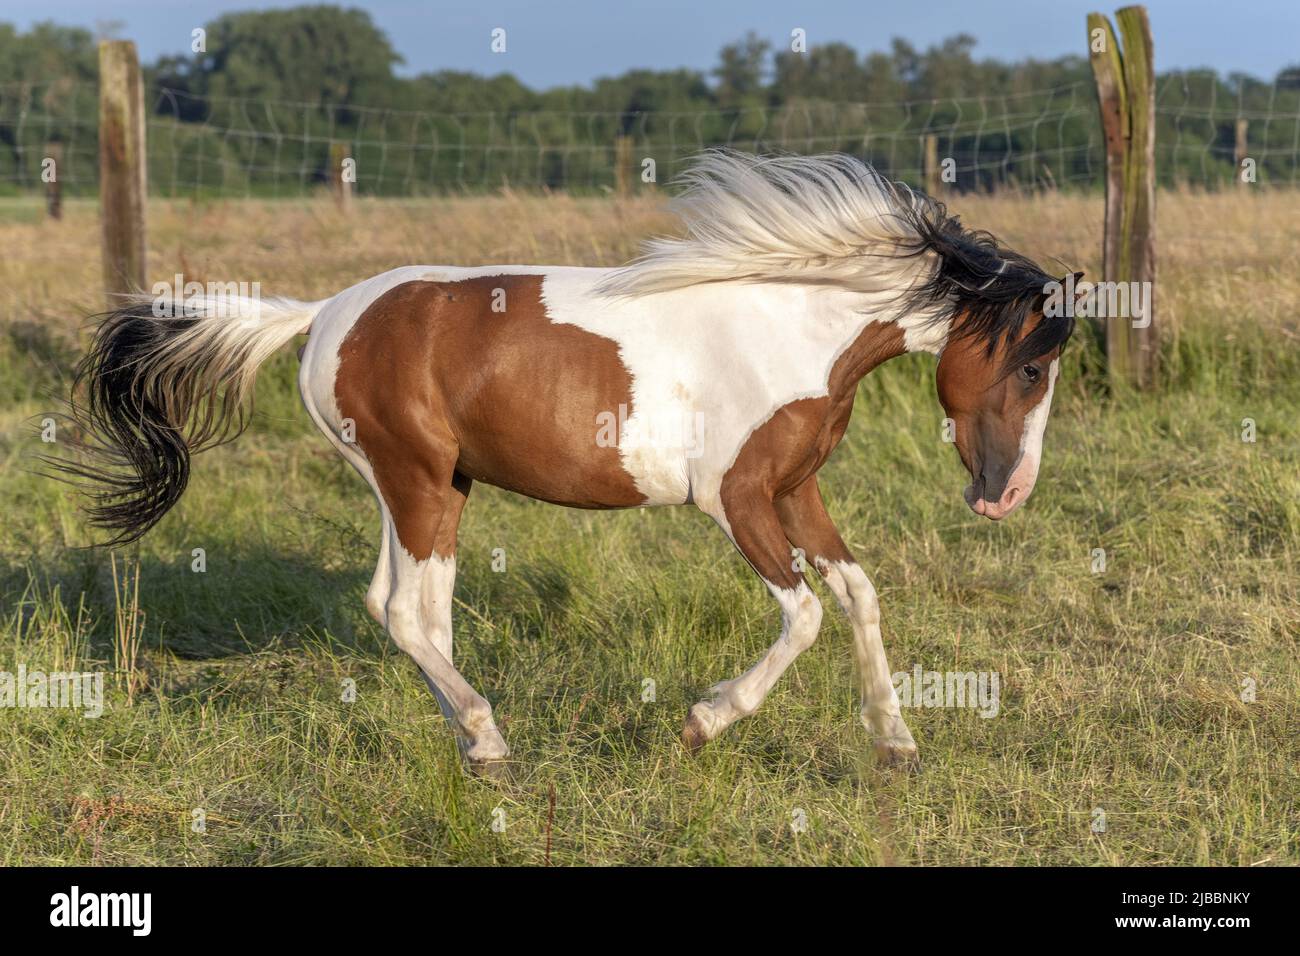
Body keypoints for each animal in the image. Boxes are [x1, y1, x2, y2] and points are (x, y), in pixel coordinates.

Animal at [63, 153, 1076, 775]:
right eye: (1032, 367)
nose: (1007, 496)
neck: (789, 326)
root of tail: (321, 317)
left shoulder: (797, 489)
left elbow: (859, 595)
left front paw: (896, 745)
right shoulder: (736, 498)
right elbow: (805, 617)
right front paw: (700, 723)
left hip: (440, 487)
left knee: (408, 610)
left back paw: (475, 744)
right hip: (413, 480)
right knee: (404, 611)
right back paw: (489, 740)